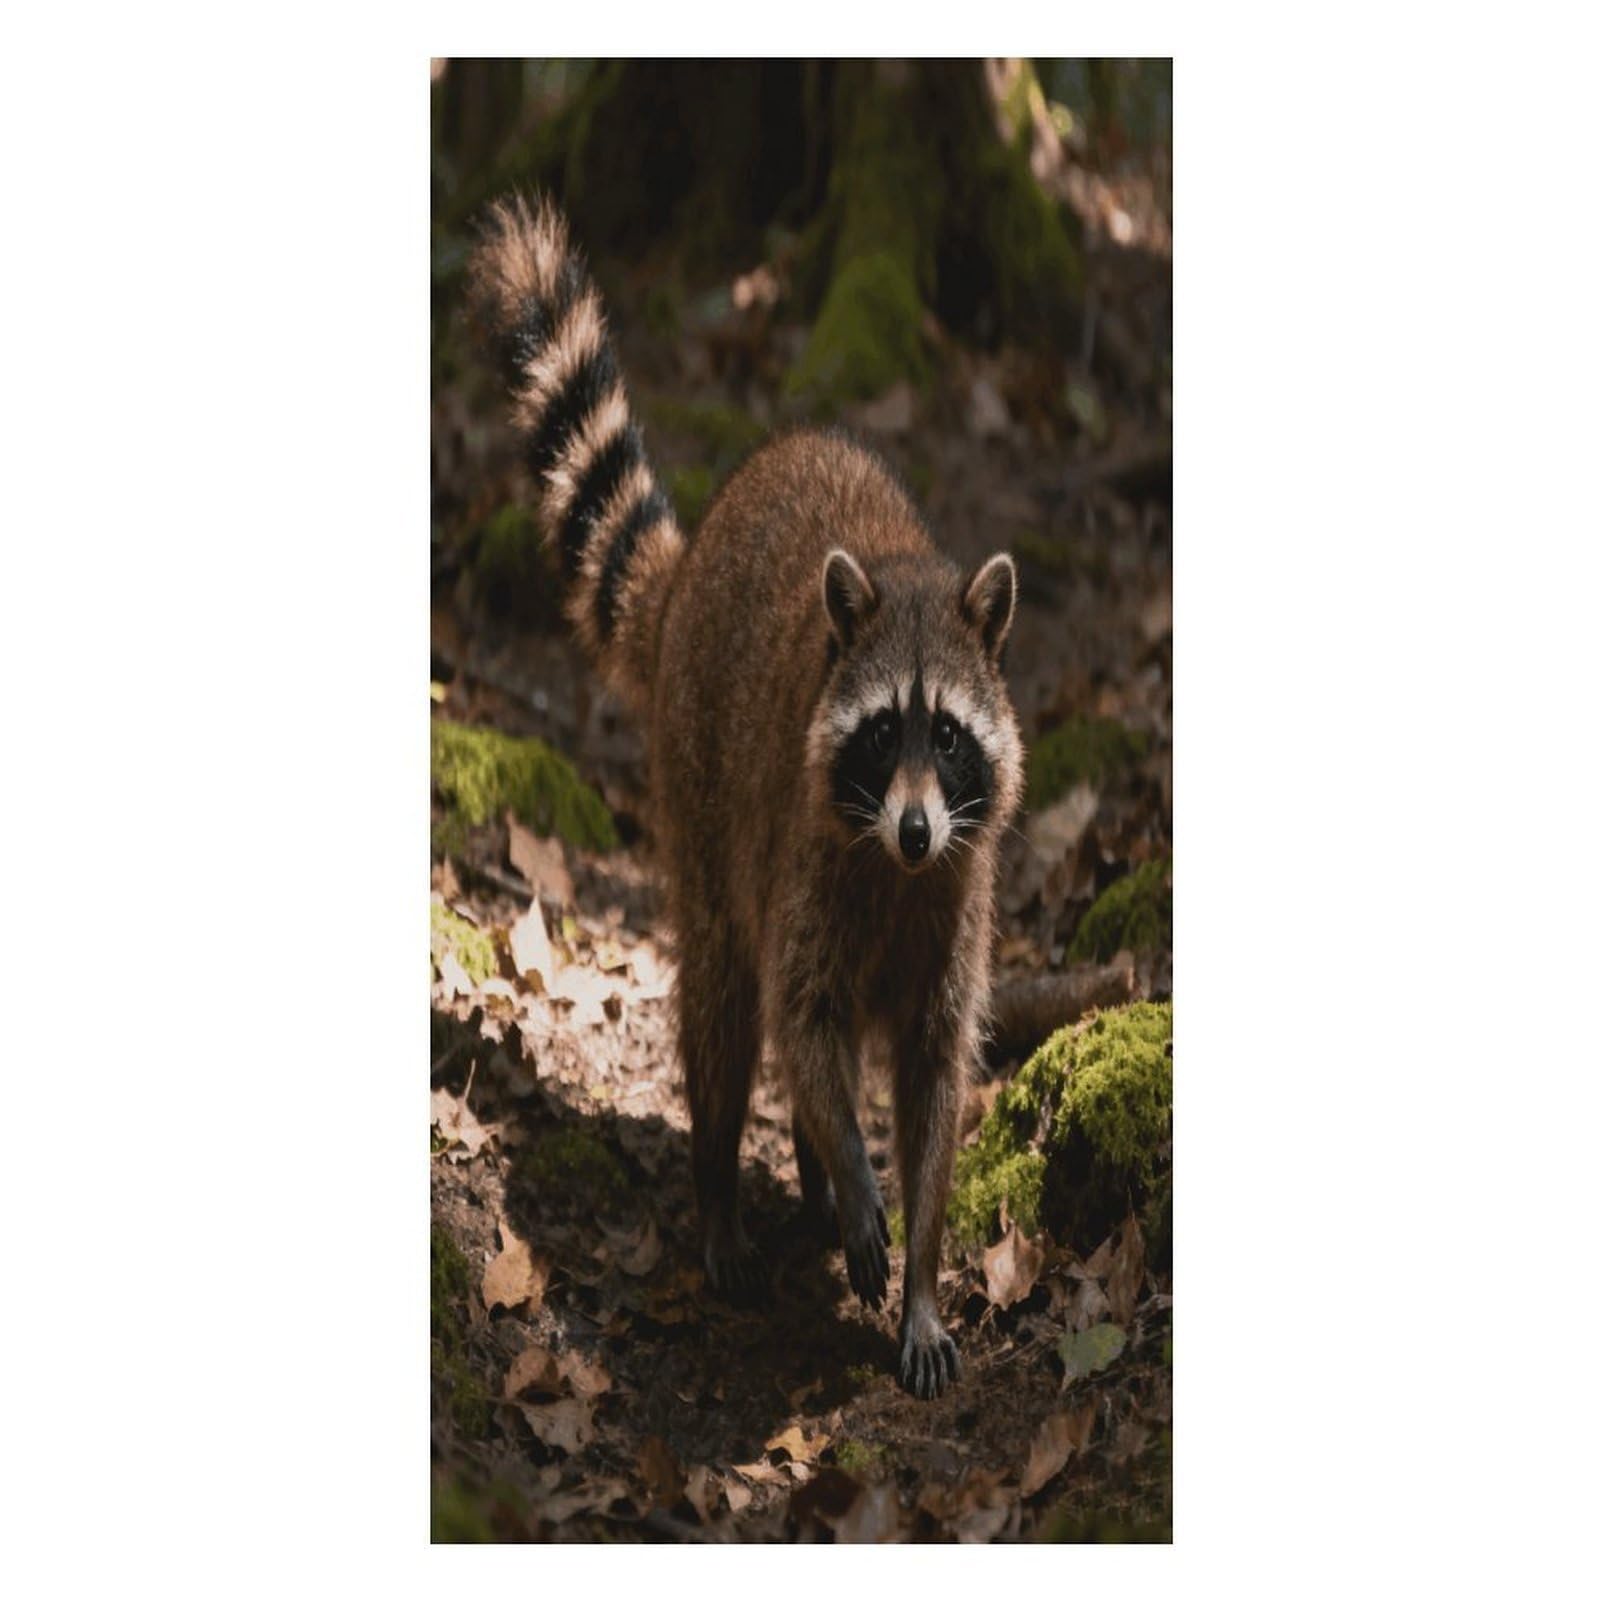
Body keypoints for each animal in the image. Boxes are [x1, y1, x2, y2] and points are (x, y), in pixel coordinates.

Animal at [469, 195, 1024, 1398]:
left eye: (950, 737)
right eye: (884, 733)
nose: (917, 831)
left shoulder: (957, 904)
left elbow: (934, 1083)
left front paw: (918, 1268)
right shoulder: (816, 856)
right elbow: (796, 1014)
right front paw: (856, 1182)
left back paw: (810, 1176)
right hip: (701, 786)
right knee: (726, 1000)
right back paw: (724, 1183)